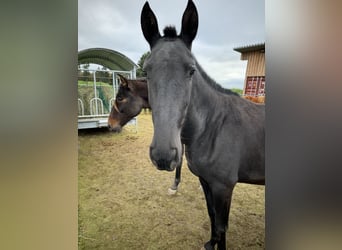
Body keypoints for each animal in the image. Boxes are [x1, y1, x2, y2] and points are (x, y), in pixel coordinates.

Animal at [141, 0, 264, 249]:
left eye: (191, 70)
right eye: (146, 71)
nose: (163, 156)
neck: (213, 128)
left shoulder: (224, 187)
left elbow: (222, 226)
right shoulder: (207, 182)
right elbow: (212, 217)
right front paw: (210, 243)